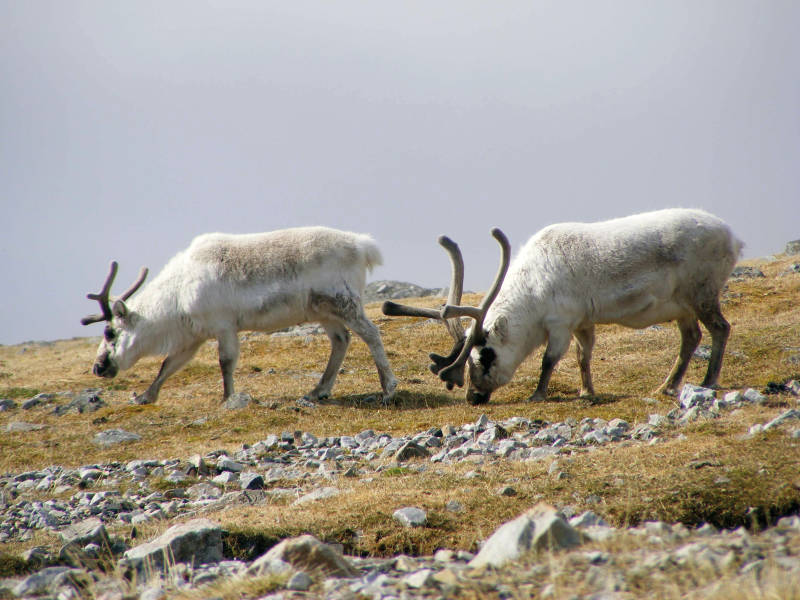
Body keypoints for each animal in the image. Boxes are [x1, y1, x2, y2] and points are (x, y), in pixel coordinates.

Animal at [81, 227, 397, 405]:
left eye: (110, 332)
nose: (98, 367)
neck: (176, 296)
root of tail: (364, 246)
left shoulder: (224, 326)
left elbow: (226, 362)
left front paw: (227, 398)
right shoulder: (193, 337)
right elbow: (168, 365)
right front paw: (145, 396)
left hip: (344, 302)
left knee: (371, 333)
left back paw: (388, 388)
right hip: (323, 310)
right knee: (341, 340)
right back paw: (317, 391)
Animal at [383, 209, 742, 405]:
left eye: (485, 356)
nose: (474, 396)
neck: (531, 291)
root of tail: (734, 237)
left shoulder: (559, 323)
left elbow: (548, 360)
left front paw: (538, 394)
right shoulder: (583, 322)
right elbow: (584, 357)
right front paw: (586, 391)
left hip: (702, 294)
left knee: (721, 328)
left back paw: (708, 381)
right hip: (682, 307)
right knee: (691, 338)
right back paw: (667, 385)